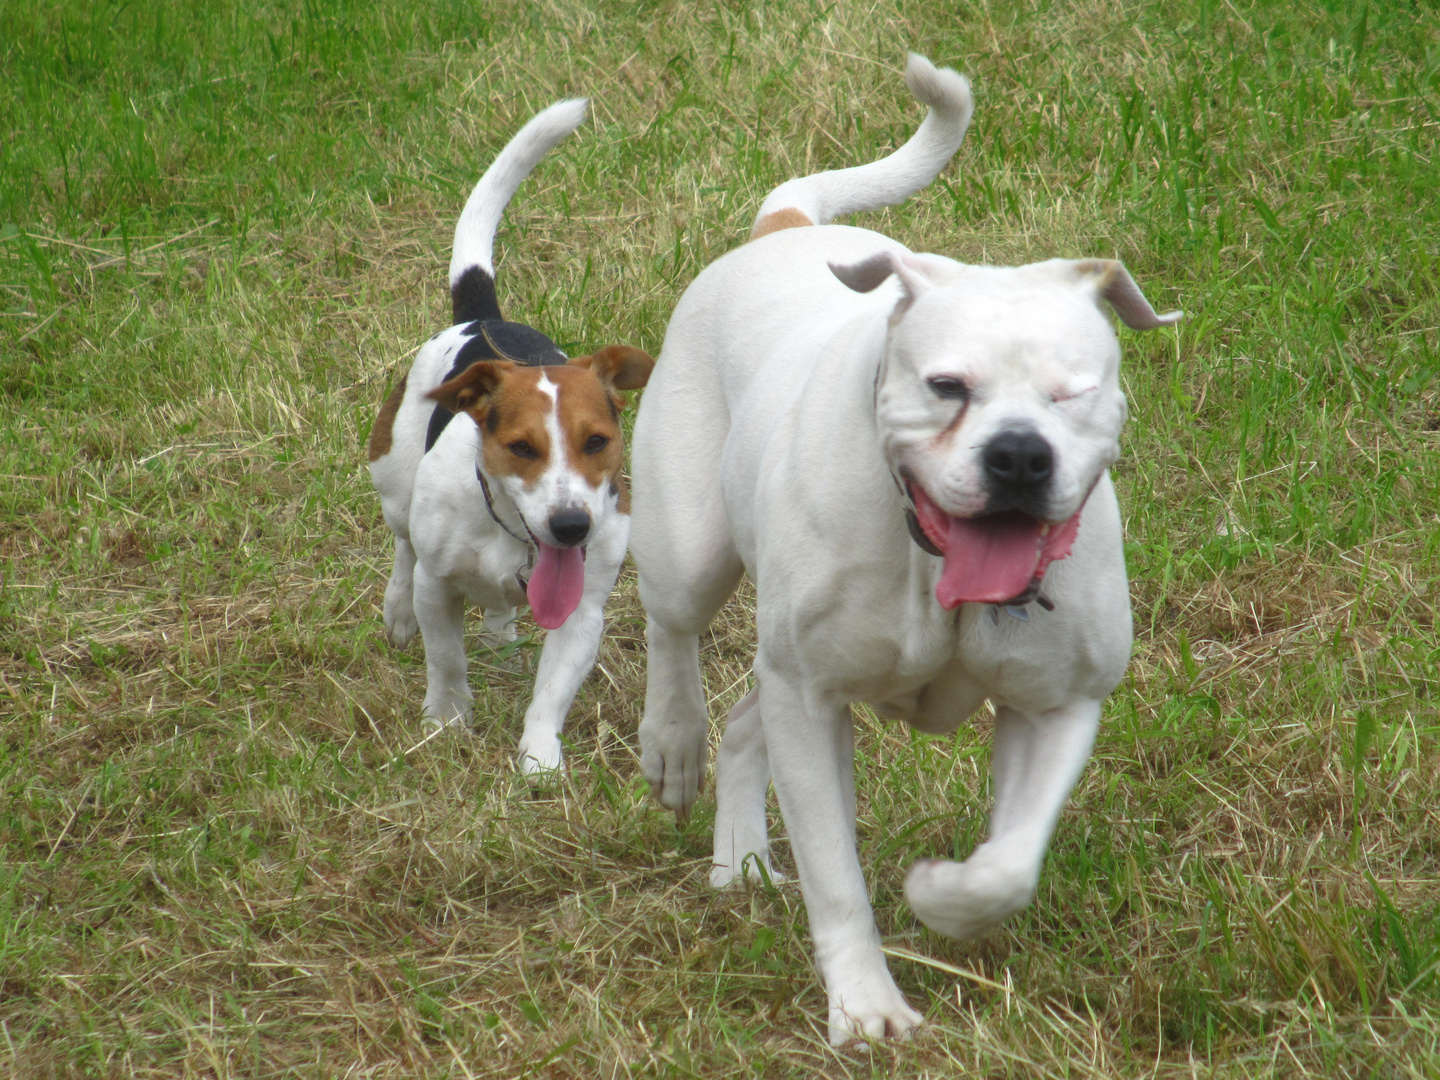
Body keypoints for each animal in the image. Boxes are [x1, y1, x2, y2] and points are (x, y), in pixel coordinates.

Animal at [365, 101, 653, 771]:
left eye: (597, 442)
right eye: (522, 447)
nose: (572, 525)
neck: (517, 539)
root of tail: (483, 317)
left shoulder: (583, 612)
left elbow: (552, 692)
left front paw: (540, 759)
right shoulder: (438, 587)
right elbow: (445, 660)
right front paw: (446, 723)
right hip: (394, 483)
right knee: (402, 546)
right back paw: (397, 613)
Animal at [630, 55, 1180, 1042]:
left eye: (1071, 393)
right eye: (946, 385)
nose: (1018, 455)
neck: (928, 557)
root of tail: (784, 228)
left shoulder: (1060, 704)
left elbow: (1009, 863)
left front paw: (945, 900)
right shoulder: (812, 700)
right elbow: (836, 877)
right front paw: (865, 1005)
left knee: (747, 721)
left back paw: (743, 864)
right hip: (691, 549)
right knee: (675, 632)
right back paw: (673, 743)